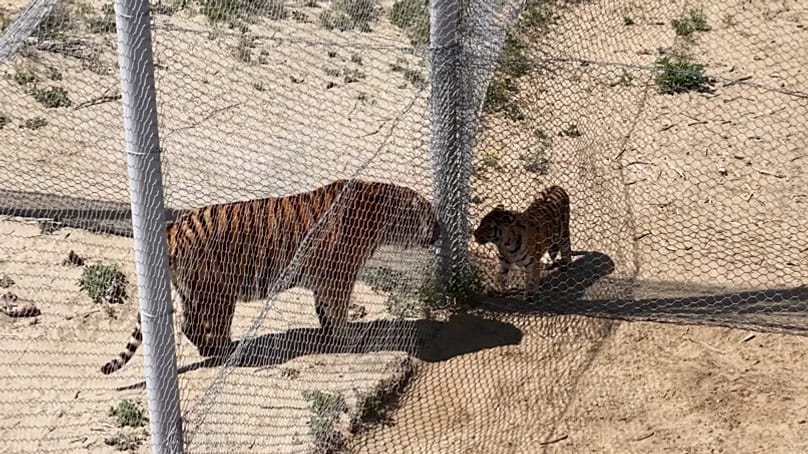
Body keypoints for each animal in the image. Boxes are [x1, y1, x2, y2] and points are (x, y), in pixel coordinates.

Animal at [101, 179, 440, 374]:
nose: (440, 232)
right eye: (432, 218)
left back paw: (215, 350)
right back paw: (228, 352)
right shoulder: (339, 276)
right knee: (205, 328)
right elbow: (338, 310)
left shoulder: (325, 279)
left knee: (189, 325)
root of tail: (173, 226)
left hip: (193, 291)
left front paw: (330, 333)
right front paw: (347, 337)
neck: (386, 220)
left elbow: (325, 310)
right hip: (218, 294)